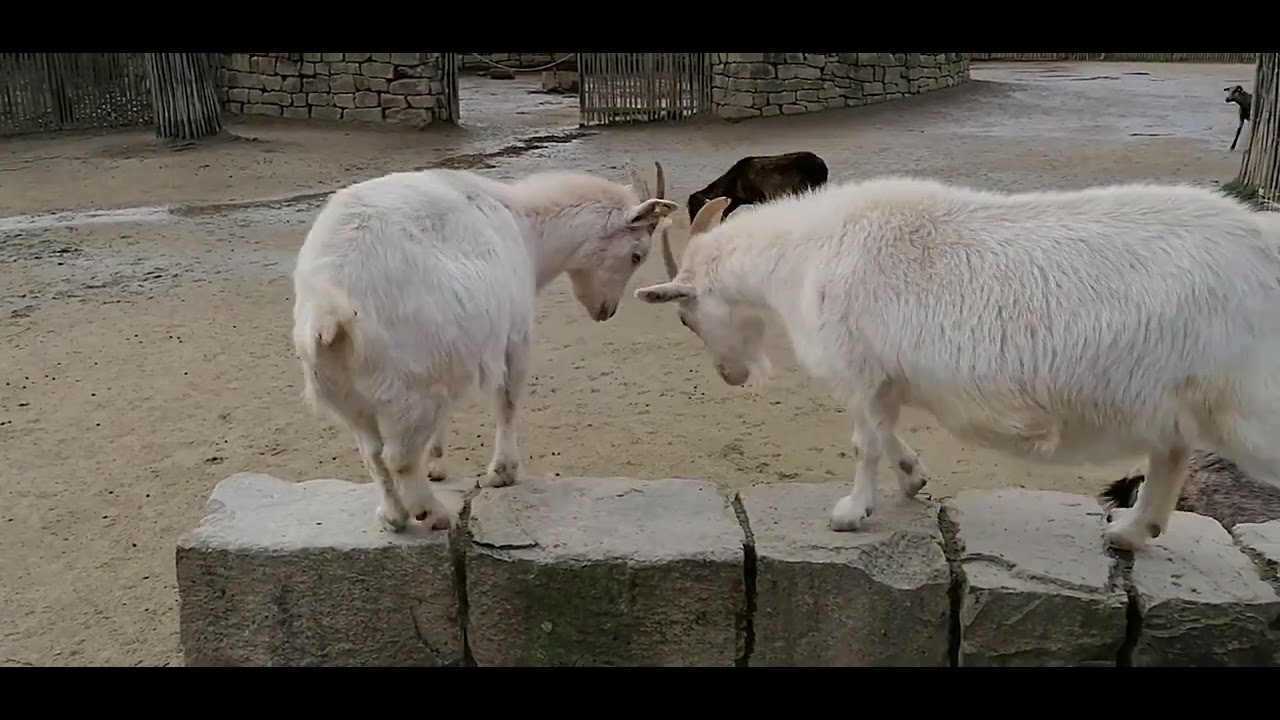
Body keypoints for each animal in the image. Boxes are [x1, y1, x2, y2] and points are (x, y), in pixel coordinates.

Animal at [292, 163, 677, 532]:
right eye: (637, 255)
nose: (605, 311)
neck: (523, 227)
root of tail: (328, 300)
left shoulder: (451, 358)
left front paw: (437, 463)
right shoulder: (514, 336)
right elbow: (507, 400)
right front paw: (502, 473)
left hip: (347, 392)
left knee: (372, 454)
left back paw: (393, 517)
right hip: (408, 387)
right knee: (397, 458)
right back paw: (432, 514)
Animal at [686, 151, 829, 223]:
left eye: (694, 207)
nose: (692, 222)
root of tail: (822, 164)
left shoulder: (759, 199)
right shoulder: (738, 200)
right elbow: (724, 213)